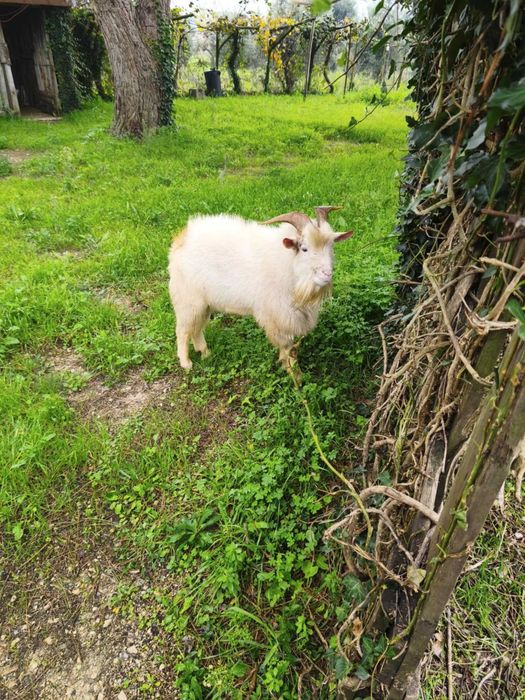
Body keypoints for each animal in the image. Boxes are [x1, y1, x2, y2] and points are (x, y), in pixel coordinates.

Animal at [168, 207, 353, 371]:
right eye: (304, 248)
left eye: (331, 246)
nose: (327, 274)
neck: (287, 262)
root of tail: (181, 239)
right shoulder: (279, 315)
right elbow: (287, 346)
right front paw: (291, 370)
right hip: (188, 300)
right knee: (182, 331)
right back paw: (186, 363)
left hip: (204, 304)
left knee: (196, 329)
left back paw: (205, 353)